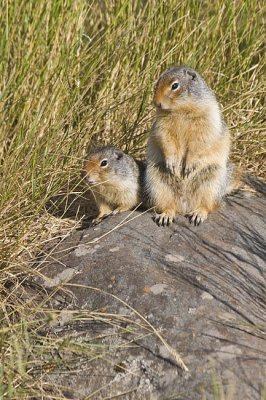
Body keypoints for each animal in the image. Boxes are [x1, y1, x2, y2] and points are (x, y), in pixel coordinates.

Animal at [145, 67, 239, 227]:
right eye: (157, 82)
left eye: (175, 85)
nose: (156, 103)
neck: (181, 110)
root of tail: (185, 205)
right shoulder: (161, 126)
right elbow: (166, 140)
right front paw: (172, 163)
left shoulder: (206, 122)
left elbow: (199, 144)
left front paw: (188, 165)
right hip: (157, 183)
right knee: (168, 206)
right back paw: (166, 216)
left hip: (212, 183)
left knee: (207, 206)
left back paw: (198, 215)